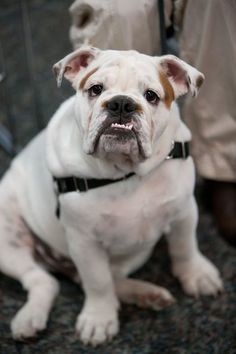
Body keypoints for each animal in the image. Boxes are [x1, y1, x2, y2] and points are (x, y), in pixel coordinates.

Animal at [0, 47, 223, 346]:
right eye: (96, 89)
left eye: (151, 95)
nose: (121, 104)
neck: (124, 173)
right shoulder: (84, 241)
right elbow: (98, 281)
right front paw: (99, 319)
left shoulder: (184, 212)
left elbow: (185, 247)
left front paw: (196, 276)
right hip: (7, 238)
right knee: (44, 280)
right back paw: (29, 319)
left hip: (135, 252)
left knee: (107, 277)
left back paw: (146, 294)